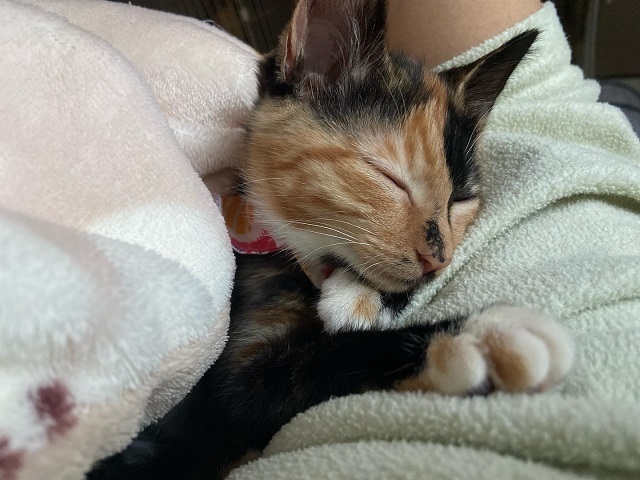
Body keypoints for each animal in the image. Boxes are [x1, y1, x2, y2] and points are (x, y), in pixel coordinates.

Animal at [88, 1, 574, 479]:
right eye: (389, 178)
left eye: (462, 198)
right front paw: (478, 338)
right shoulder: (223, 395)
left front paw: (359, 294)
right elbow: (317, 365)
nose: (438, 258)